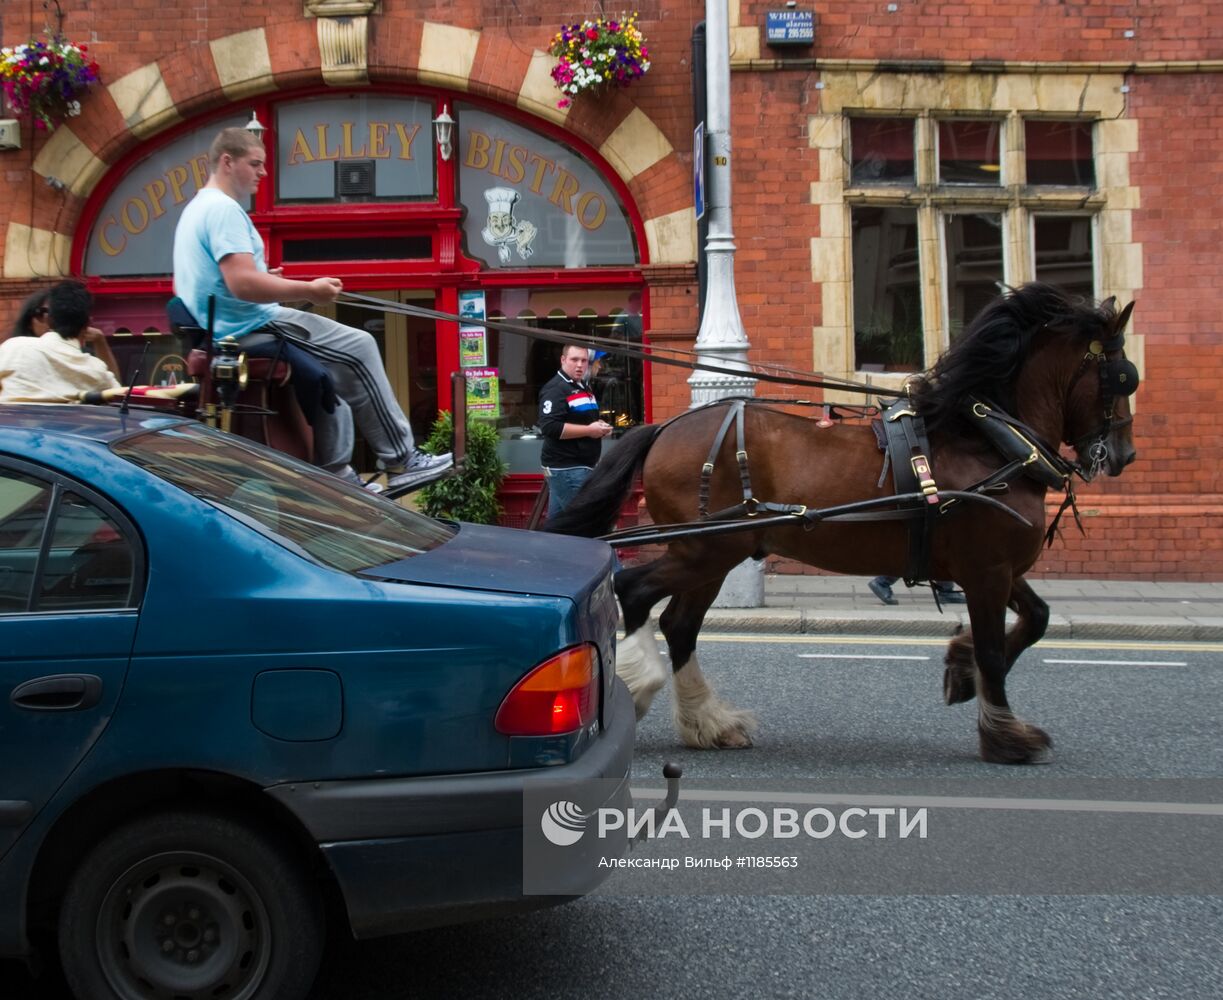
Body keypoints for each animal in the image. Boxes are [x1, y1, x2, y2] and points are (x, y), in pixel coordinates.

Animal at [545, 284, 1134, 757]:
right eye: (1124, 377)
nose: (1122, 455)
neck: (990, 441)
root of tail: (666, 428)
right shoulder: (986, 569)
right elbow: (994, 647)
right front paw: (1006, 734)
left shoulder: (998, 567)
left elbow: (1037, 618)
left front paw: (961, 673)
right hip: (704, 549)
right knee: (634, 589)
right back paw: (644, 685)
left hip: (714, 553)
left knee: (678, 624)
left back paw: (708, 722)